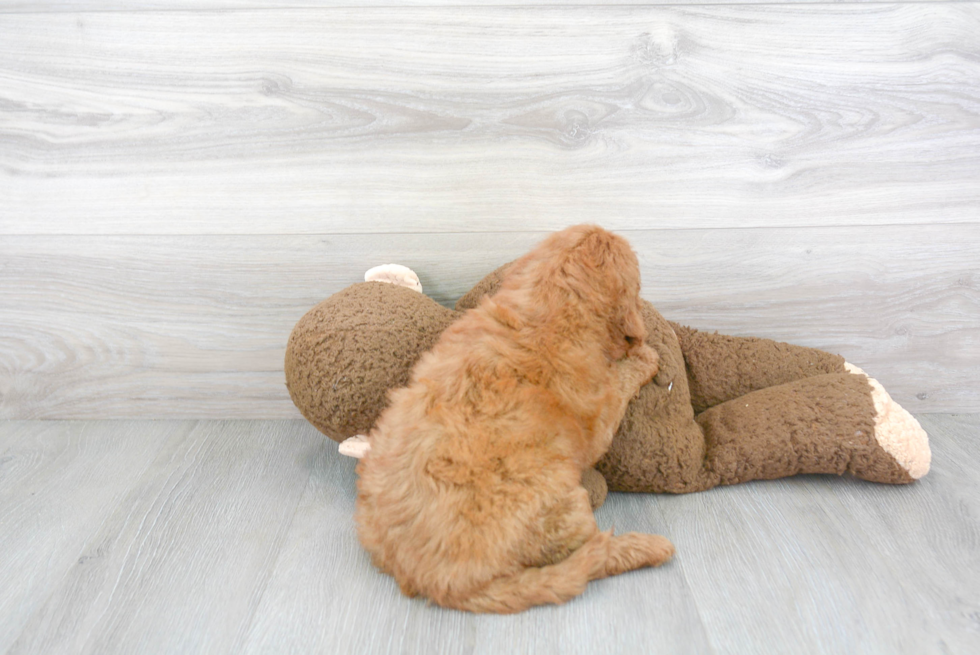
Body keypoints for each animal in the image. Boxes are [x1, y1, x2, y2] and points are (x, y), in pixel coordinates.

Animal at [354, 226, 672, 616]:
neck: (546, 311)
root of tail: (439, 582)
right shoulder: (601, 414)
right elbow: (621, 383)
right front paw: (645, 356)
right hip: (567, 509)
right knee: (589, 554)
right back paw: (642, 547)